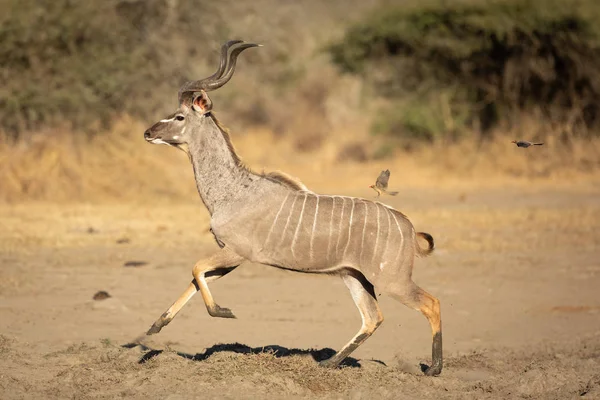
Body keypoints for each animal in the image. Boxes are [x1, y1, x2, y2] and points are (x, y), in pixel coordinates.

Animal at [141, 40, 440, 376]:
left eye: (180, 117)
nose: (148, 133)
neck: (234, 189)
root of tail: (408, 227)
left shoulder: (236, 253)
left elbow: (196, 269)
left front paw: (223, 311)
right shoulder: (230, 258)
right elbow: (196, 278)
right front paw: (155, 326)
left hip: (391, 281)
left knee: (430, 304)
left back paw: (434, 369)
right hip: (354, 276)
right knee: (373, 317)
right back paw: (328, 362)